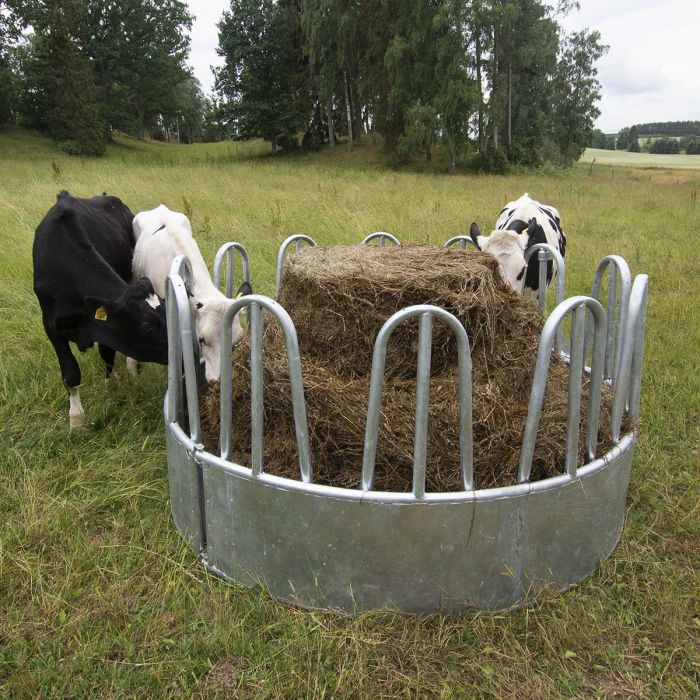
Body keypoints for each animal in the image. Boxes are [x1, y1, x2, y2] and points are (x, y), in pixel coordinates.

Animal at [33, 191, 169, 426]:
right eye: (146, 325)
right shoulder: (51, 326)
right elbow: (70, 372)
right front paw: (76, 419)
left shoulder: (104, 325)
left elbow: (107, 353)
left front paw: (112, 386)